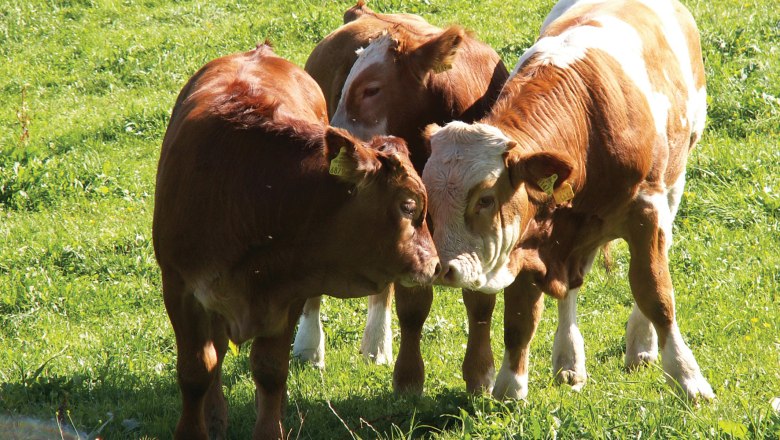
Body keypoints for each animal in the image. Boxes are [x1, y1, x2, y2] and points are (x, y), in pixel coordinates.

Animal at [152, 43, 440, 439]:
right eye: (409, 206)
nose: (435, 264)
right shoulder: (180, 288)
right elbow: (197, 370)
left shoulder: (287, 291)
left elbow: (270, 370)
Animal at [295, 1, 509, 394]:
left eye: (372, 89)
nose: (333, 139)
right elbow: (414, 302)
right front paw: (409, 378)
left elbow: (480, 300)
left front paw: (480, 375)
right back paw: (309, 345)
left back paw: (376, 344)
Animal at [421, 0, 715, 401]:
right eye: (430, 198)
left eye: (485, 199)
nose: (442, 269)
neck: (588, 127)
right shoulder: (532, 236)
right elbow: (520, 317)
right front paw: (511, 387)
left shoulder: (646, 210)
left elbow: (655, 291)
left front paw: (688, 378)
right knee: (570, 289)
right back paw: (568, 361)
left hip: (675, 181)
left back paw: (641, 343)